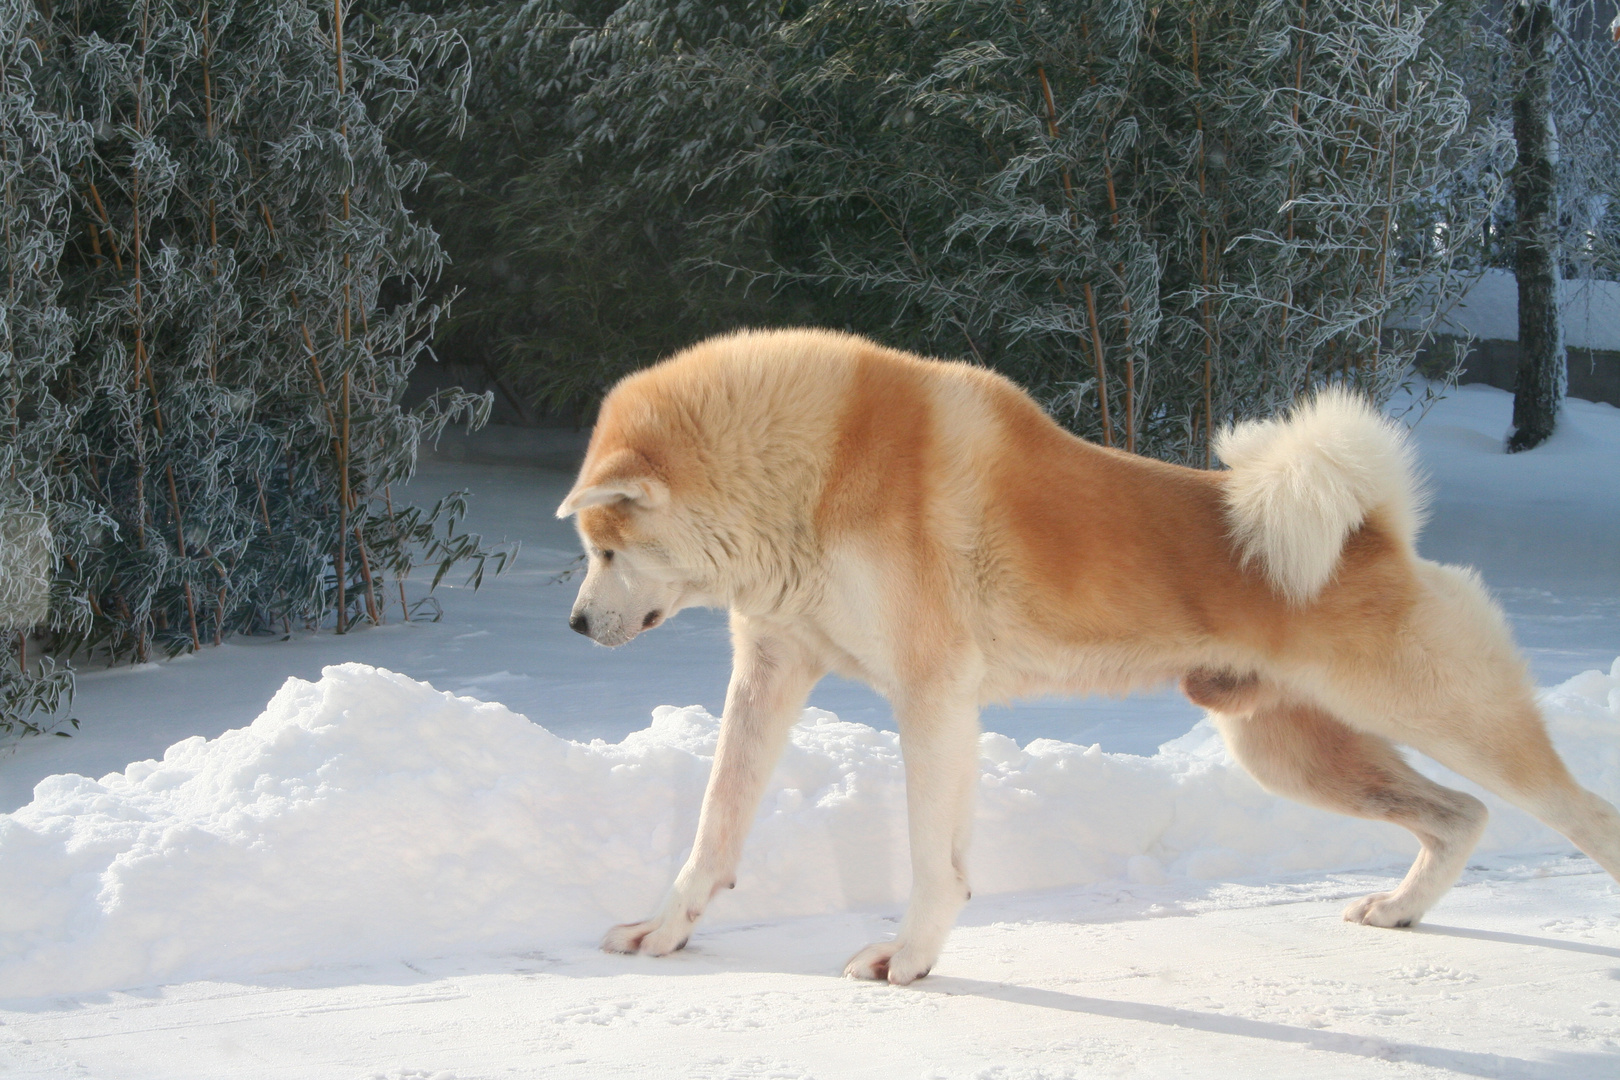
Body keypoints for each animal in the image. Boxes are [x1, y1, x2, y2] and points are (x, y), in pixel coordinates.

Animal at [560, 330, 1620, 990]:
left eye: (604, 549)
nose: (571, 626)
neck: (807, 471)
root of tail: (1378, 533)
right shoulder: (772, 672)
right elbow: (714, 830)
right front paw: (666, 931)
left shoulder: (933, 698)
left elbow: (933, 862)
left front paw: (910, 958)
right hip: (1297, 754)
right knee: (1459, 817)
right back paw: (1401, 909)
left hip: (1446, 720)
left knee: (1581, 815)